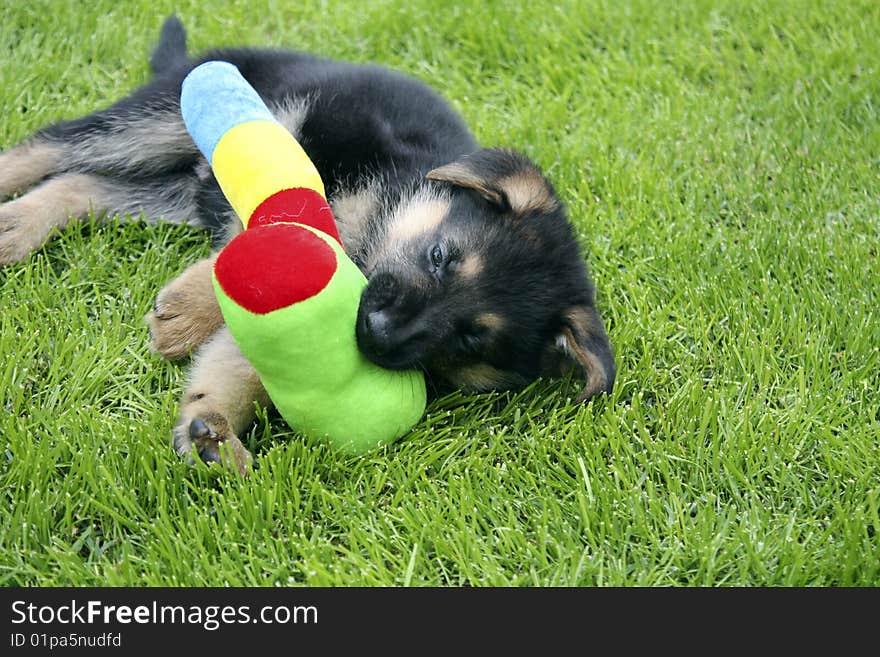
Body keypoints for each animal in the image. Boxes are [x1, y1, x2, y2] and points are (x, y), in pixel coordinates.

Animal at [0, 14, 616, 466]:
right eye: (440, 257)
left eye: (471, 340)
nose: (376, 333)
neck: (405, 186)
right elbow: (276, 245)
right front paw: (192, 311)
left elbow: (242, 363)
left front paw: (212, 425)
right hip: (164, 117)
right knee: (52, 146)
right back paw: (10, 207)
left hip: (178, 192)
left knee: (83, 183)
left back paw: (21, 224)